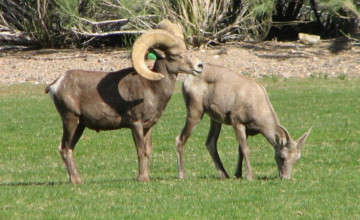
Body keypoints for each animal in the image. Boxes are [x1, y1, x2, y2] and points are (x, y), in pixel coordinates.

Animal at [45, 20, 202, 183]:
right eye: (175, 55)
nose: (199, 66)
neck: (152, 88)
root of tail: (56, 84)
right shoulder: (136, 124)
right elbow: (141, 151)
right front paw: (142, 179)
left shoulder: (148, 127)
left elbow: (148, 151)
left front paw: (146, 177)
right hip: (71, 120)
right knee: (64, 148)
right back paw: (75, 181)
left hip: (79, 125)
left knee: (68, 149)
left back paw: (77, 179)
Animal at [176, 67, 310, 180]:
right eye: (282, 156)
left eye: (297, 158)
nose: (285, 177)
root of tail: (187, 80)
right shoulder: (237, 122)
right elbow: (246, 149)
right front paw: (250, 176)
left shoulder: (248, 130)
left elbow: (240, 149)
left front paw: (238, 174)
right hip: (195, 111)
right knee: (180, 138)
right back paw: (182, 175)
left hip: (215, 119)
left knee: (210, 142)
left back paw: (224, 174)